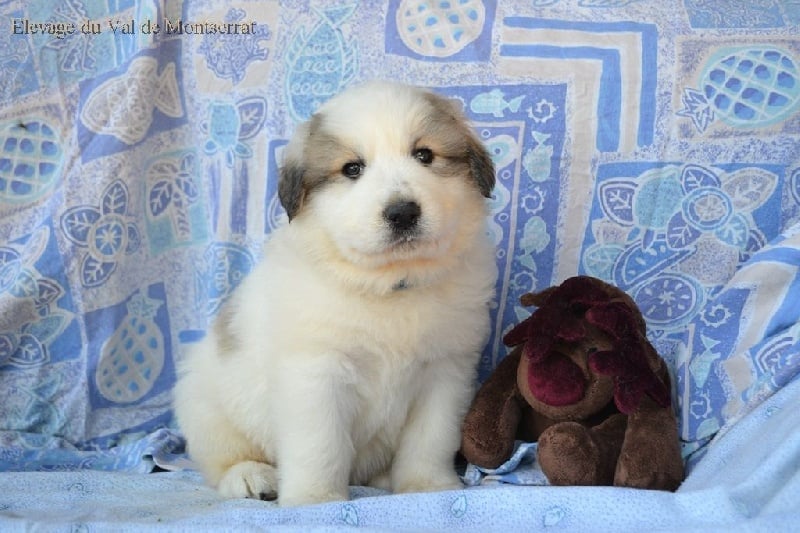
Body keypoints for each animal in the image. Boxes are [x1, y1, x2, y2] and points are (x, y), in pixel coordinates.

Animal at [174, 81, 497, 507]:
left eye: (424, 155)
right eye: (352, 169)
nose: (402, 212)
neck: (389, 286)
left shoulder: (444, 372)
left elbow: (430, 440)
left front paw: (428, 486)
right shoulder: (316, 373)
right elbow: (320, 444)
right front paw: (315, 499)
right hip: (206, 405)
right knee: (223, 457)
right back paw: (250, 477)